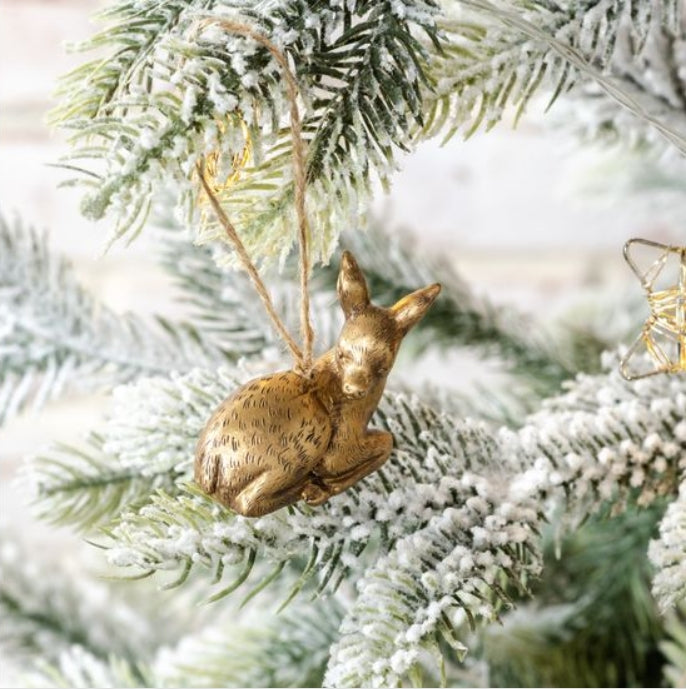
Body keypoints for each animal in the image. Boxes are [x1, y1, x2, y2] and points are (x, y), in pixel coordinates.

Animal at [194, 251, 441, 517]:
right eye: (342, 354)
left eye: (384, 366)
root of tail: (210, 465)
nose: (354, 389)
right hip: (307, 439)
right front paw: (323, 488)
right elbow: (386, 441)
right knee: (246, 502)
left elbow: (386, 443)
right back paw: (304, 488)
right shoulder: (339, 450)